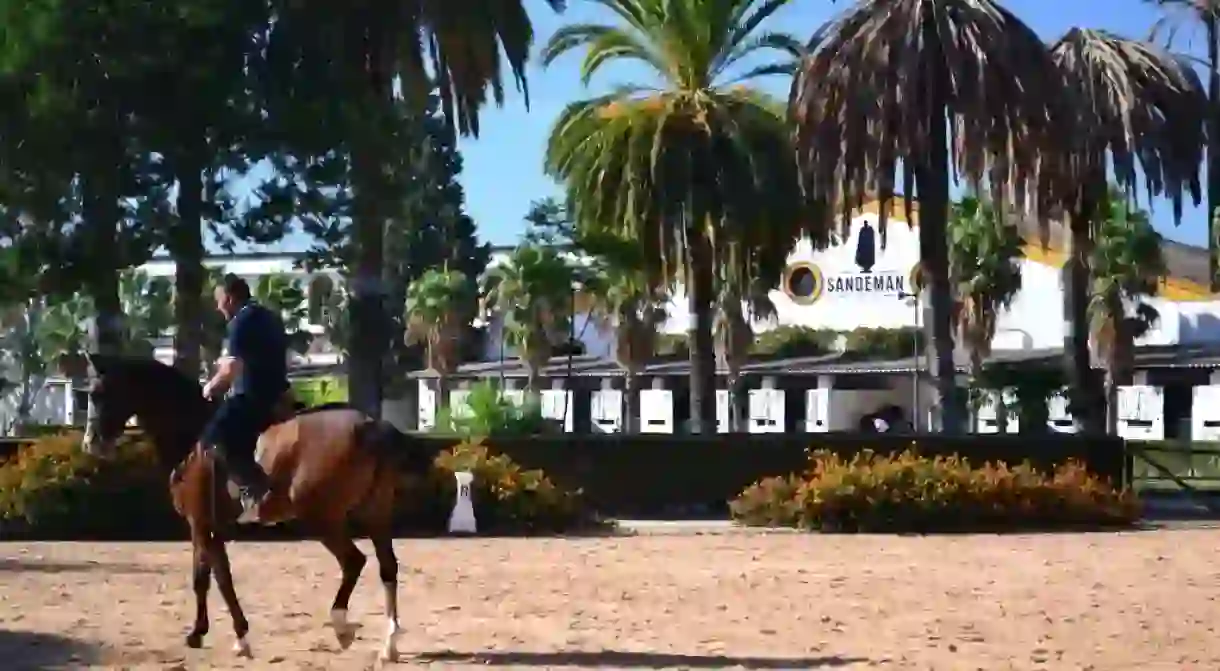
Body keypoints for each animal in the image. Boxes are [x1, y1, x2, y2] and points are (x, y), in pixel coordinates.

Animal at [77, 356, 434, 663]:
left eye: (98, 393)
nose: (90, 443)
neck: (193, 439)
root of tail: (368, 425)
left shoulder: (200, 524)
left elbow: (218, 578)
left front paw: (239, 637)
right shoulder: (209, 526)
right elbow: (206, 577)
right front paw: (199, 632)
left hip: (321, 518)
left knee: (354, 562)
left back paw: (342, 627)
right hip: (376, 514)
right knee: (387, 568)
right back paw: (388, 645)